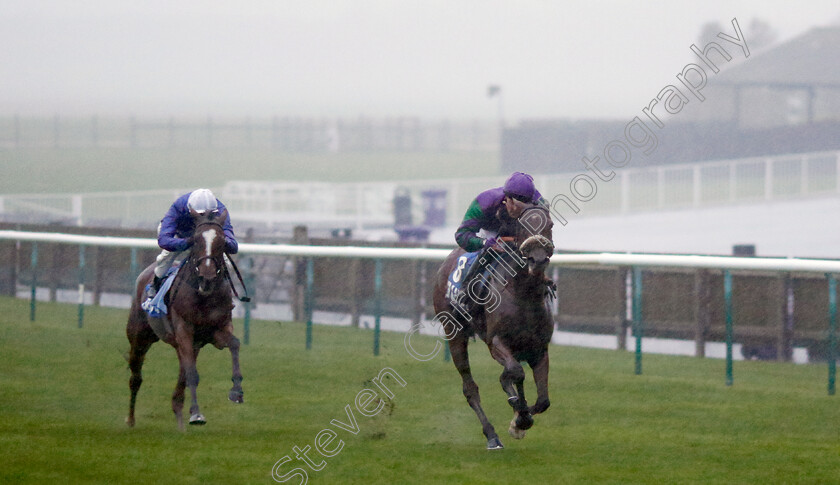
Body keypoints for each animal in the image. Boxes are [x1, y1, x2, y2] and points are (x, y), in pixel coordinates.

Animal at [126, 208, 243, 428]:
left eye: (222, 241)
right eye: (196, 240)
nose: (207, 277)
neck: (203, 296)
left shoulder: (217, 330)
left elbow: (234, 344)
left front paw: (236, 391)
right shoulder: (184, 330)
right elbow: (192, 374)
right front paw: (196, 414)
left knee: (181, 379)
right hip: (139, 336)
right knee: (136, 376)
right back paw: (130, 420)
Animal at [434, 202, 556, 448]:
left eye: (550, 225)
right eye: (522, 225)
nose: (538, 260)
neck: (523, 293)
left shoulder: (539, 348)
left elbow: (542, 400)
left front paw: (519, 420)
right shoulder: (495, 341)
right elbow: (515, 373)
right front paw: (519, 415)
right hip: (455, 334)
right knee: (470, 388)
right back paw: (491, 435)